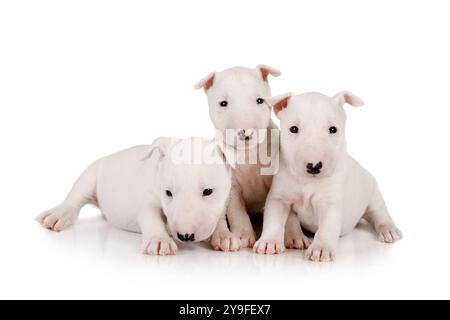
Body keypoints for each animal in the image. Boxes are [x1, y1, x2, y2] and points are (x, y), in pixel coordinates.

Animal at [35, 137, 236, 255]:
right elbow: (150, 216)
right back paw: (57, 215)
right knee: (74, 198)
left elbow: (218, 219)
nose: (185, 236)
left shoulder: (223, 202)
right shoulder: (149, 199)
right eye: (168, 192)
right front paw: (159, 241)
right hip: (90, 175)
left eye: (208, 191)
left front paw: (224, 236)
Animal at [195, 65, 312, 251]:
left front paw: (295, 236)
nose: (246, 133)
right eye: (223, 103)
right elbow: (236, 211)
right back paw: (223, 238)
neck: (249, 153)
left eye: (260, 100)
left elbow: (289, 213)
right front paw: (243, 236)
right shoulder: (232, 186)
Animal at [255, 91, 402, 262]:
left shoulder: (330, 201)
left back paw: (389, 230)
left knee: (379, 212)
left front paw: (321, 249)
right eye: (293, 129)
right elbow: (276, 219)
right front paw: (270, 242)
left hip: (372, 192)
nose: (314, 166)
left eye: (333, 129)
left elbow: (327, 226)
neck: (308, 182)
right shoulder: (280, 197)